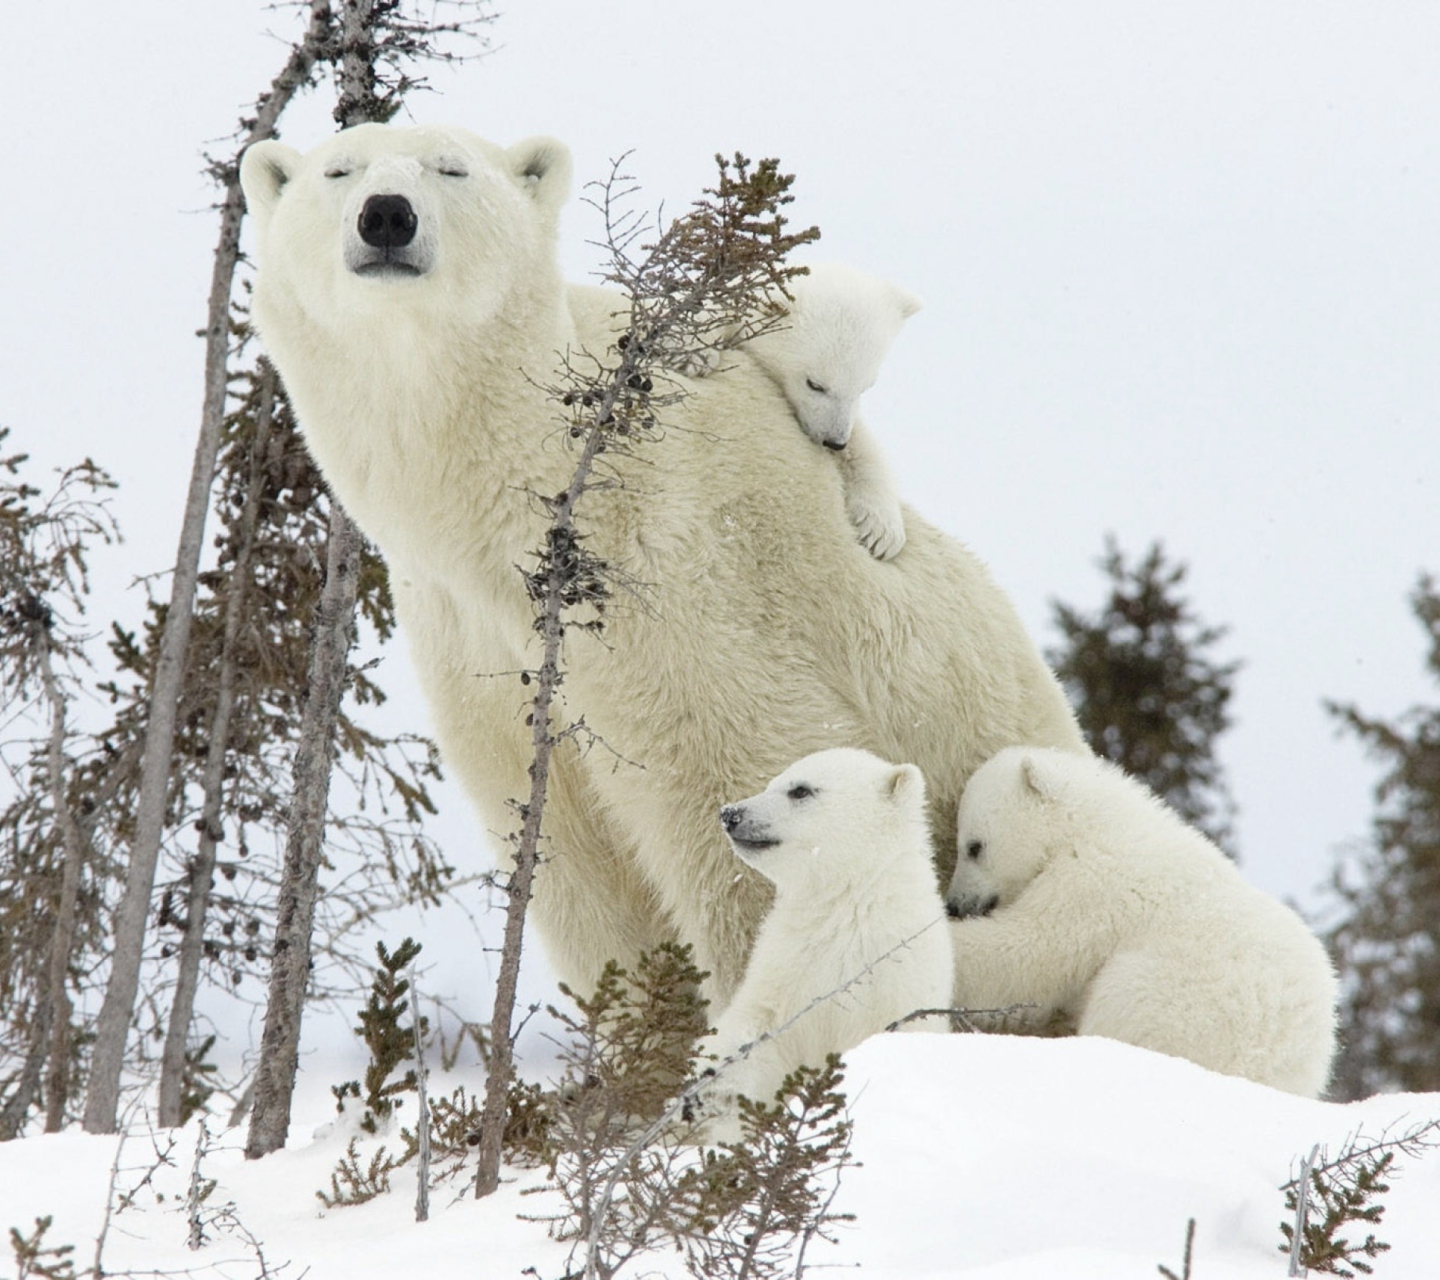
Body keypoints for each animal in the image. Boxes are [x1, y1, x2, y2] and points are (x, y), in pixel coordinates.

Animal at [241, 122, 1082, 996]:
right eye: (339, 170)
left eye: (451, 168)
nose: (386, 216)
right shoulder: (474, 645)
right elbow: (576, 868)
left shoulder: (679, 587)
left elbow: (744, 804)